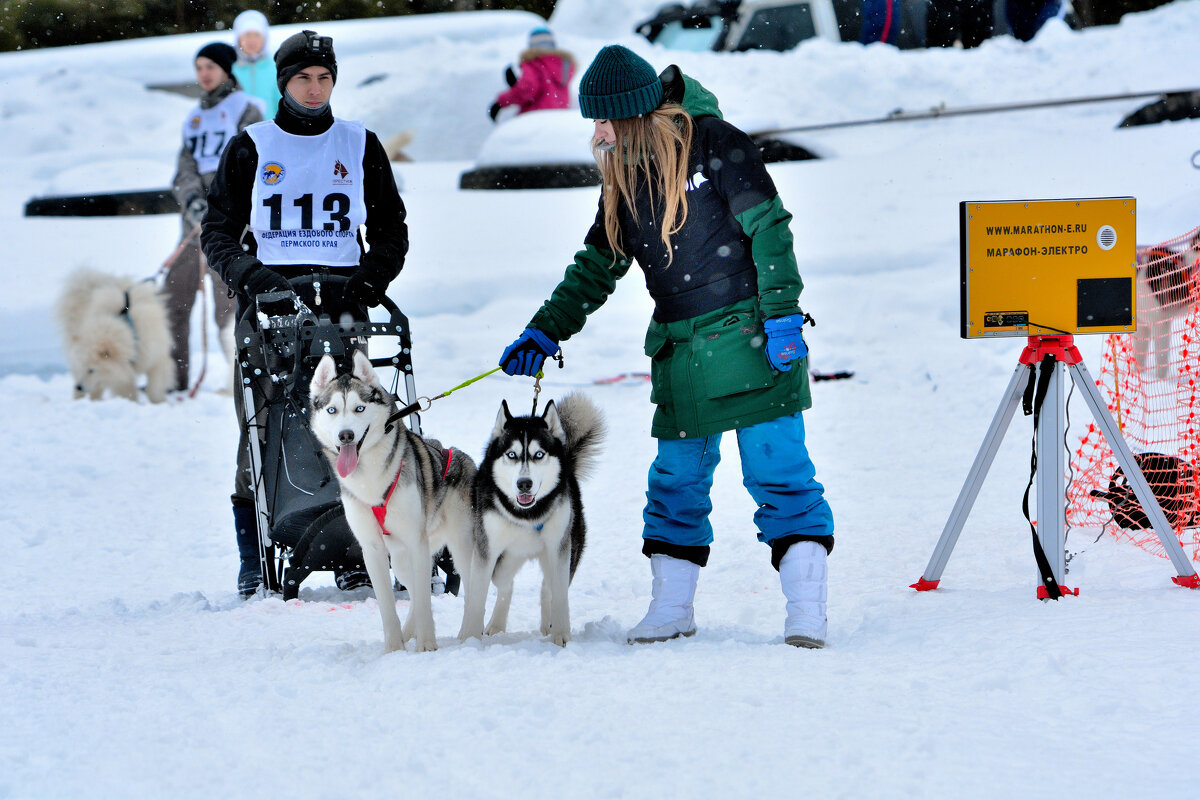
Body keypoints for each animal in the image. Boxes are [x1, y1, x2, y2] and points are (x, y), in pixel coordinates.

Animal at [55, 268, 174, 402]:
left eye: (91, 370)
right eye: (83, 368)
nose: (79, 386)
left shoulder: (154, 357)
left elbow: (155, 384)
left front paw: (157, 401)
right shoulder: (122, 372)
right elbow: (127, 390)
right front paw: (132, 402)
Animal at [307, 350, 475, 652]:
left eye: (359, 408)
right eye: (332, 410)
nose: (346, 435)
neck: (371, 480)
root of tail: (463, 457)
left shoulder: (416, 543)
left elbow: (424, 599)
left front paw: (427, 645)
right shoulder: (372, 549)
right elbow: (388, 605)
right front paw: (394, 649)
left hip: (460, 547)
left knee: (471, 589)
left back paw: (471, 633)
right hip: (401, 559)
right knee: (417, 593)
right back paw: (410, 632)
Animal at [460, 391, 604, 647]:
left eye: (539, 455)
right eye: (511, 455)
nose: (524, 483)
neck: (526, 514)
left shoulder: (559, 547)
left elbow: (559, 595)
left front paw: (561, 635)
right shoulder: (486, 550)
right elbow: (477, 598)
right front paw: (470, 640)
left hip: (567, 547)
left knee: (548, 586)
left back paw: (548, 624)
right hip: (505, 557)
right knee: (505, 582)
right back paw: (496, 625)